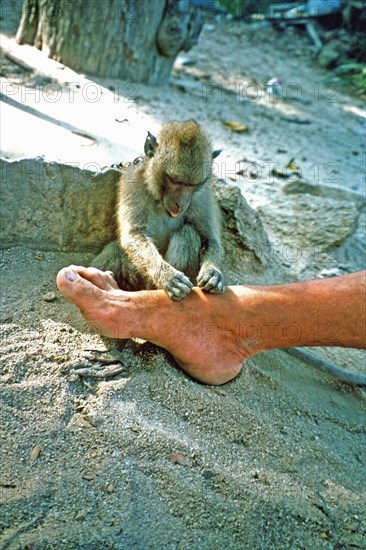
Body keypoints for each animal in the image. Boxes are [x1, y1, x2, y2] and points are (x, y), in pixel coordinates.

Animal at [92, 119, 223, 302]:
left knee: (187, 233)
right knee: (117, 250)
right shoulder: (133, 182)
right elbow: (135, 234)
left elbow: (210, 239)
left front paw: (213, 273)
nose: (180, 204)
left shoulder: (204, 194)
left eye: (193, 185)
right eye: (175, 180)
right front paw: (168, 277)